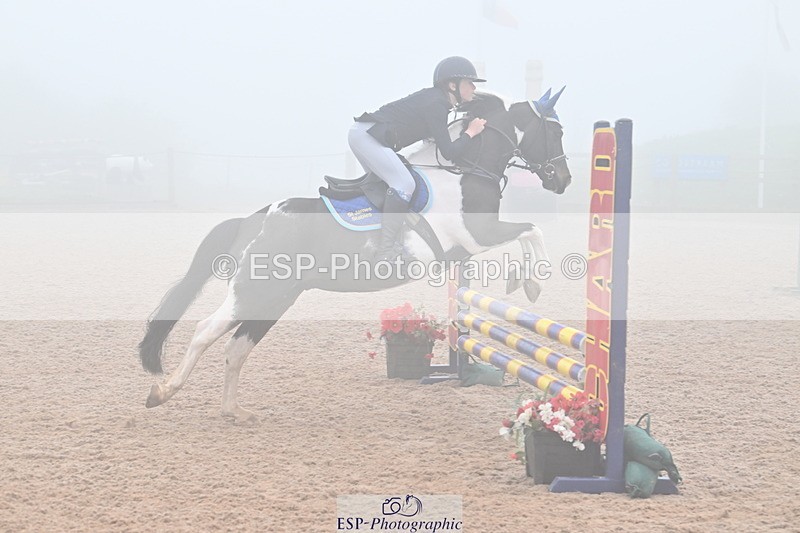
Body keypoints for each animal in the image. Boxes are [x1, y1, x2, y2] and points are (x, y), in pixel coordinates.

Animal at [138, 89, 572, 421]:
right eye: (555, 130)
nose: (564, 180)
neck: (465, 168)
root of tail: (251, 220)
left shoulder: (469, 246)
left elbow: (527, 234)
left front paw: (525, 282)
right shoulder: (476, 236)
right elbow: (532, 231)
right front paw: (529, 283)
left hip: (276, 297)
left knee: (235, 348)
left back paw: (233, 411)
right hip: (255, 292)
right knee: (205, 331)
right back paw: (164, 392)